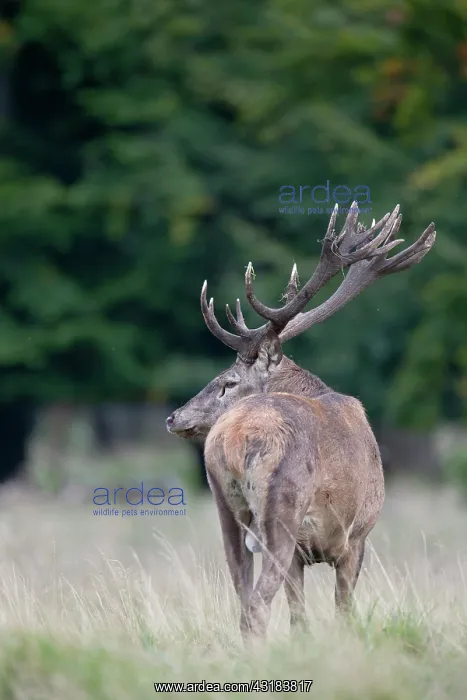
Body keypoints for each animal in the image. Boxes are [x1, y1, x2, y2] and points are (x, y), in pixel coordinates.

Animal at [166, 202, 436, 639]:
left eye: (228, 382)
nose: (174, 417)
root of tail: (234, 438)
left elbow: (300, 619)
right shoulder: (357, 536)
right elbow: (343, 613)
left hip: (227, 508)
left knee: (243, 597)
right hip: (283, 509)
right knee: (258, 605)